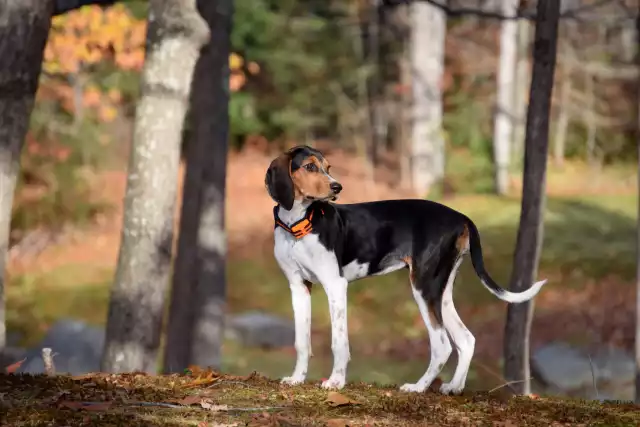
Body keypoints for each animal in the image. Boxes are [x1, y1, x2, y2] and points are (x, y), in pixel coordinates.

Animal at [264, 145, 544, 396]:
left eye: (328, 168)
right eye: (310, 167)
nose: (337, 187)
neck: (298, 226)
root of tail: (461, 217)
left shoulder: (335, 285)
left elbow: (339, 341)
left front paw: (336, 381)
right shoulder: (299, 287)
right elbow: (302, 341)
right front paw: (297, 378)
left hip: (423, 286)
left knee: (442, 345)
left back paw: (418, 387)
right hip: (440, 291)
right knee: (465, 339)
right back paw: (454, 387)